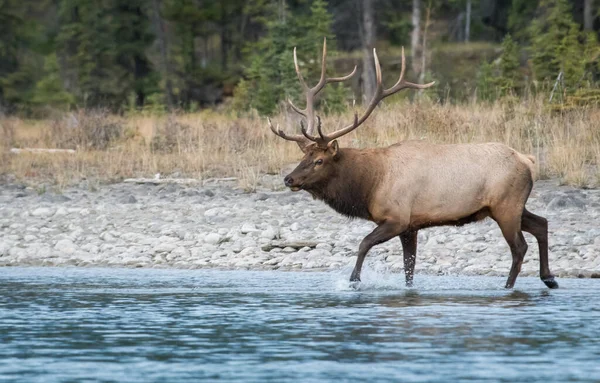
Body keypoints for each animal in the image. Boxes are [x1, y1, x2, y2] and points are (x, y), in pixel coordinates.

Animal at [268, 39, 556, 292]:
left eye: (319, 160)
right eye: (303, 156)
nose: (289, 179)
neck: (370, 184)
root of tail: (528, 161)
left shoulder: (397, 217)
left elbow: (363, 244)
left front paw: (354, 281)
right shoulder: (411, 227)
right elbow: (409, 268)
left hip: (506, 206)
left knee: (519, 247)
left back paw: (508, 287)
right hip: (511, 206)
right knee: (541, 223)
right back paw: (549, 278)